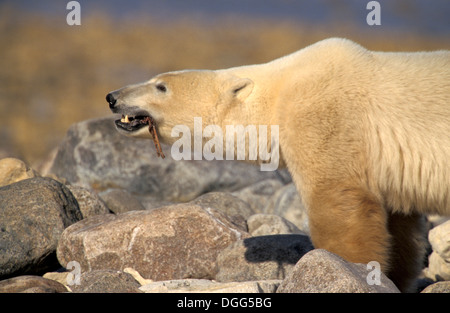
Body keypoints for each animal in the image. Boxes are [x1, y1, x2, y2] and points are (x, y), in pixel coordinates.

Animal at [108, 38, 450, 290]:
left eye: (160, 86)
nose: (112, 96)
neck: (278, 92)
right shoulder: (389, 167)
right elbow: (401, 227)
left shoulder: (324, 116)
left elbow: (338, 204)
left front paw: (346, 266)